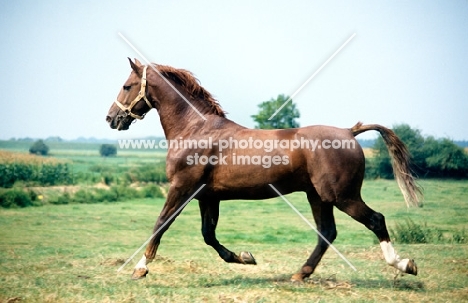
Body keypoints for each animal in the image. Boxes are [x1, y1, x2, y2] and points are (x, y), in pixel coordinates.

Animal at [106, 57, 420, 282]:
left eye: (126, 86)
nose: (111, 118)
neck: (195, 129)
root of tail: (349, 132)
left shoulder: (181, 188)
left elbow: (161, 224)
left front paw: (140, 268)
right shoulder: (208, 196)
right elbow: (208, 235)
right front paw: (245, 257)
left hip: (342, 196)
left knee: (375, 220)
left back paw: (405, 264)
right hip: (318, 197)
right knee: (327, 233)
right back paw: (300, 274)